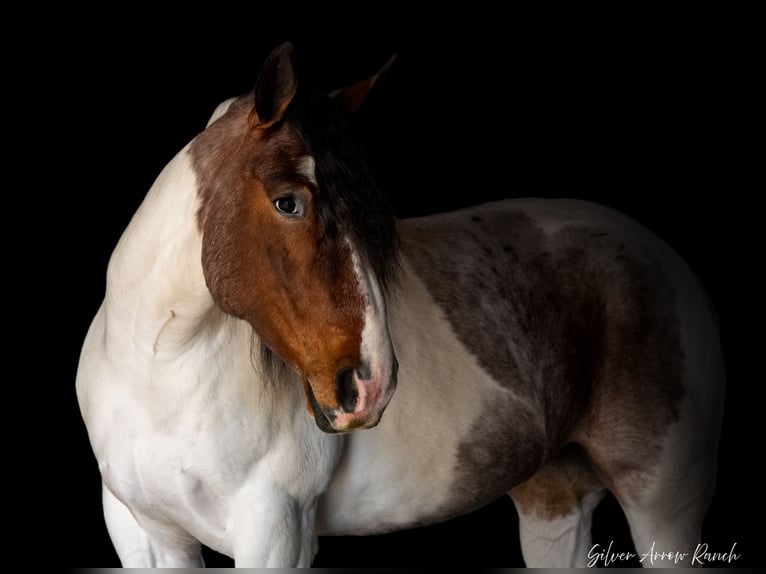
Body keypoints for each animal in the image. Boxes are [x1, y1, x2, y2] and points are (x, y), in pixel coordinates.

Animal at [76, 42, 728, 568]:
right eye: (289, 203)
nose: (371, 384)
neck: (158, 374)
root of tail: (662, 258)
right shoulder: (146, 537)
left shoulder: (274, 533)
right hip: (553, 498)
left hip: (662, 506)